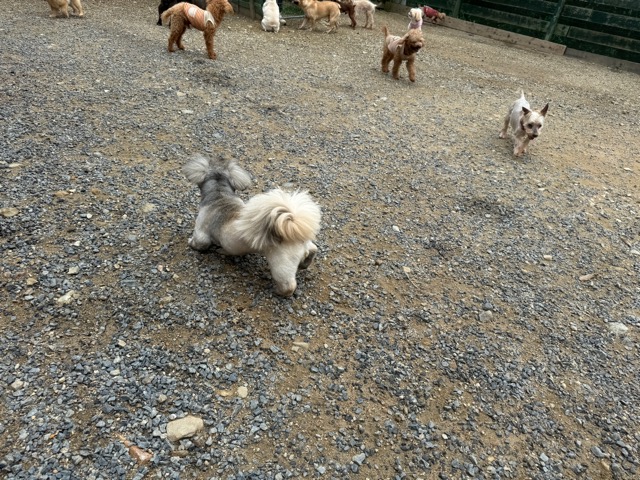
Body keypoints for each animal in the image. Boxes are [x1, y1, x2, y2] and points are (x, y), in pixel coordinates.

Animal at [184, 155, 322, 297]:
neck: (220, 195)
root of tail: (288, 228)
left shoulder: (201, 235)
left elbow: (199, 243)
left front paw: (190, 242)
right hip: (305, 246)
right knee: (313, 249)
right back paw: (304, 264)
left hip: (281, 267)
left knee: (288, 286)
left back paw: (278, 291)